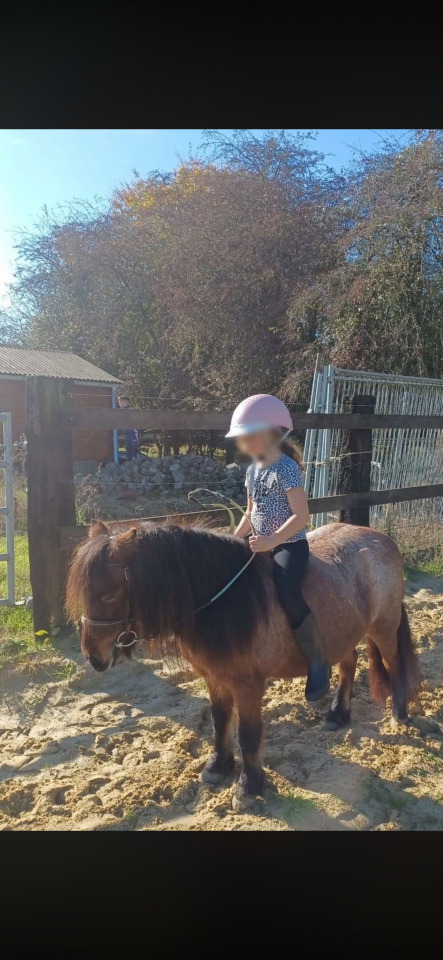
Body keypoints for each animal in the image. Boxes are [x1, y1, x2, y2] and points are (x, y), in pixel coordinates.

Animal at [66, 519, 421, 810]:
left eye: (109, 594)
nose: (94, 657)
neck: (221, 602)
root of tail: (381, 538)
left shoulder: (247, 683)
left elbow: (248, 733)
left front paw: (249, 787)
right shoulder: (214, 677)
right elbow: (220, 721)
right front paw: (217, 766)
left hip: (384, 627)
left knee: (393, 664)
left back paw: (399, 714)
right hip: (342, 633)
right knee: (349, 664)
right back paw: (337, 714)